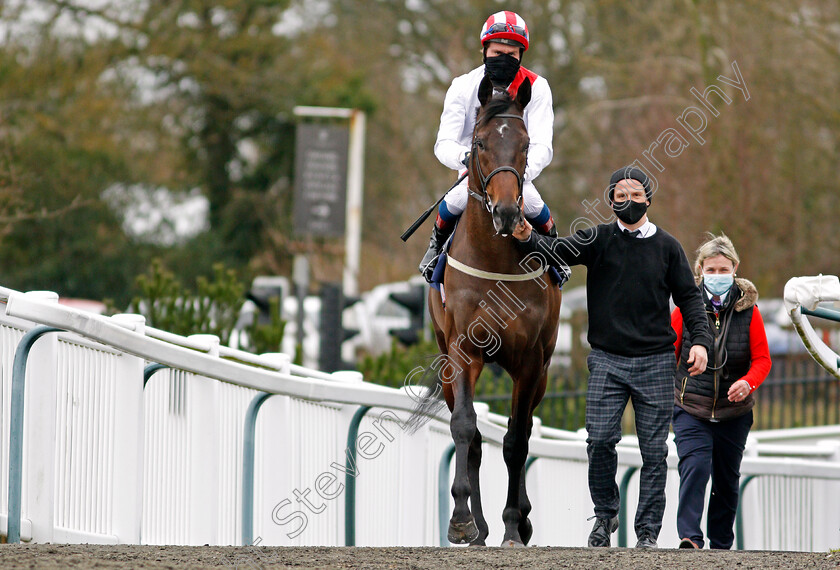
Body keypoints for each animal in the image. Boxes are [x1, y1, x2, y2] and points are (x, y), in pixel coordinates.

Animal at [418, 75, 556, 544]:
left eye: (526, 144)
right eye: (478, 143)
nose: (509, 211)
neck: (495, 261)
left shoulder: (530, 360)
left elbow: (516, 440)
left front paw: (514, 524)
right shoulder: (462, 349)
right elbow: (465, 426)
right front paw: (462, 520)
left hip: (543, 370)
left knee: (523, 429)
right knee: (475, 437)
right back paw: (476, 526)